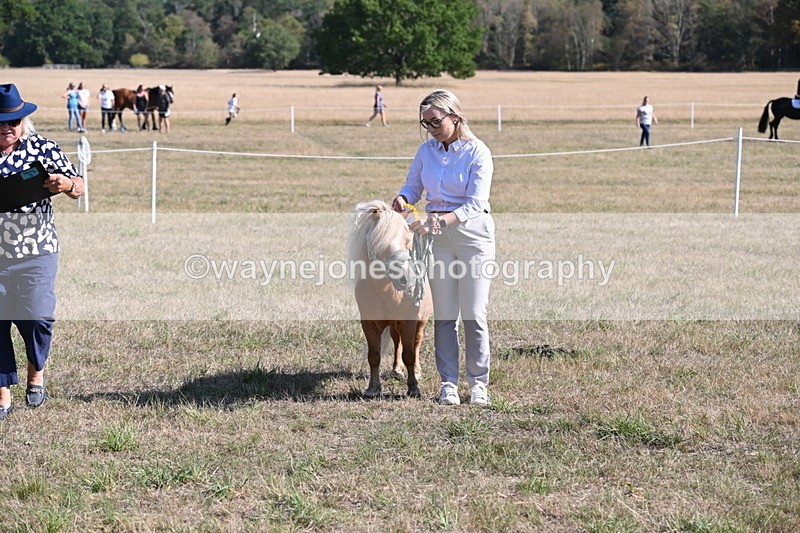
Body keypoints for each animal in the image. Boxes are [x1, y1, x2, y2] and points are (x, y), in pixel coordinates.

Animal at [348, 200, 432, 398]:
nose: (406, 279)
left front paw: (413, 387)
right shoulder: (369, 324)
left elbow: (409, 354)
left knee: (417, 343)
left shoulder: (409, 322)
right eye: (379, 244)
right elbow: (374, 356)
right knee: (396, 342)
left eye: (408, 240)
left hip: (421, 321)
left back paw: (417, 371)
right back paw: (396, 369)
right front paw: (373, 388)